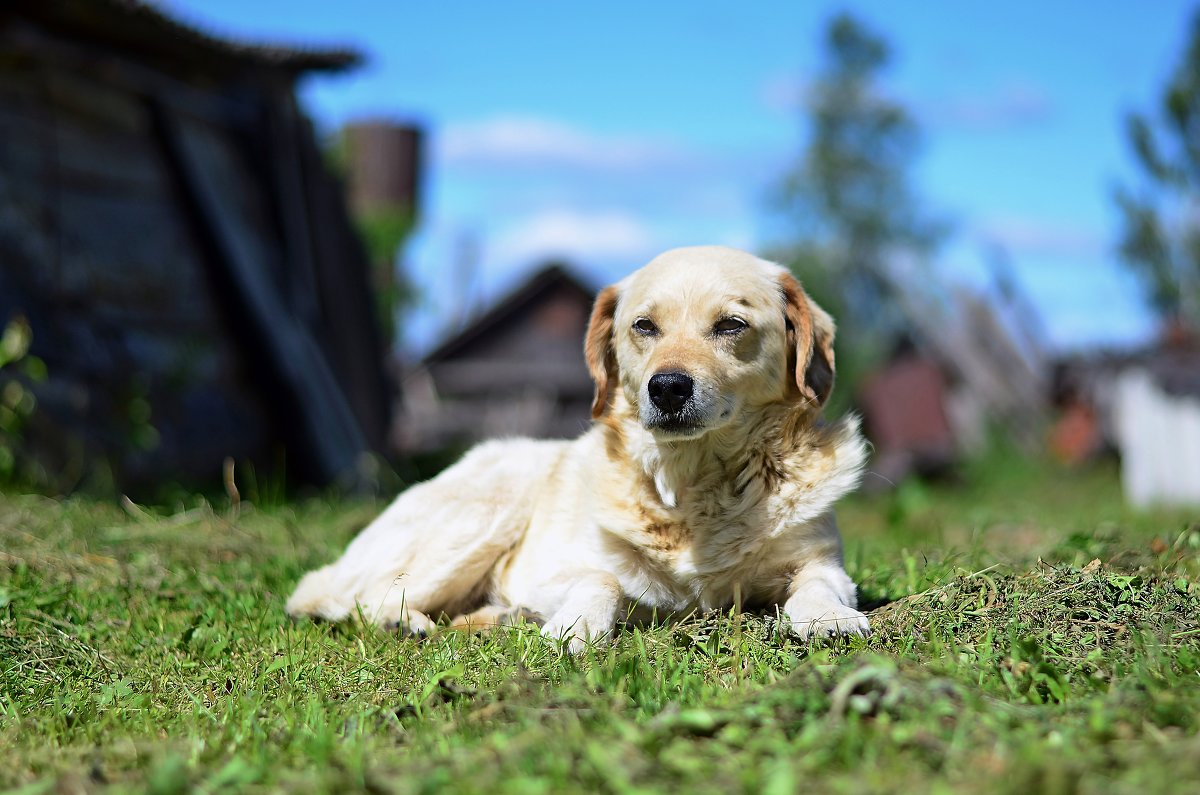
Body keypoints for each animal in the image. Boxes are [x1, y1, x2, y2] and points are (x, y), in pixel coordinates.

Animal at [290, 246, 873, 653]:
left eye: (732, 325)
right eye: (644, 326)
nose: (667, 388)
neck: (692, 489)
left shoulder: (823, 561)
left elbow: (818, 582)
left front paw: (828, 617)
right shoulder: (555, 569)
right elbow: (600, 577)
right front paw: (577, 624)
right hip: (489, 507)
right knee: (356, 596)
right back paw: (405, 620)